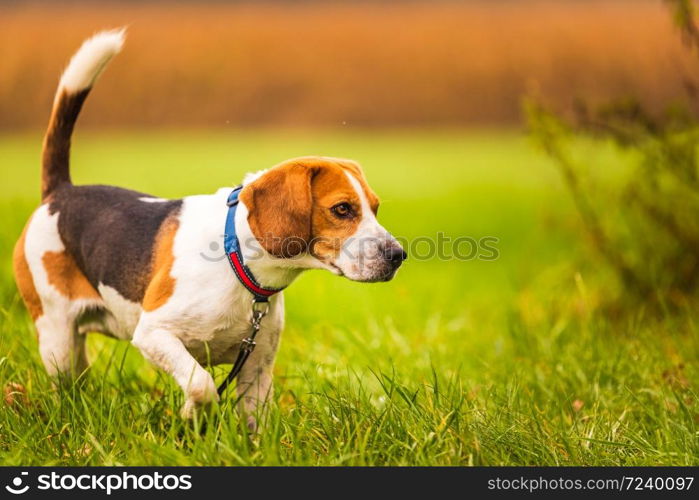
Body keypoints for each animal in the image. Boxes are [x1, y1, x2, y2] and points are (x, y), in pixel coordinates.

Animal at [12, 31, 404, 422]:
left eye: (375, 208)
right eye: (342, 209)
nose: (398, 255)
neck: (239, 263)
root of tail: (61, 192)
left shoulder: (256, 369)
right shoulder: (153, 333)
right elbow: (201, 383)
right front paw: (190, 414)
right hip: (56, 336)